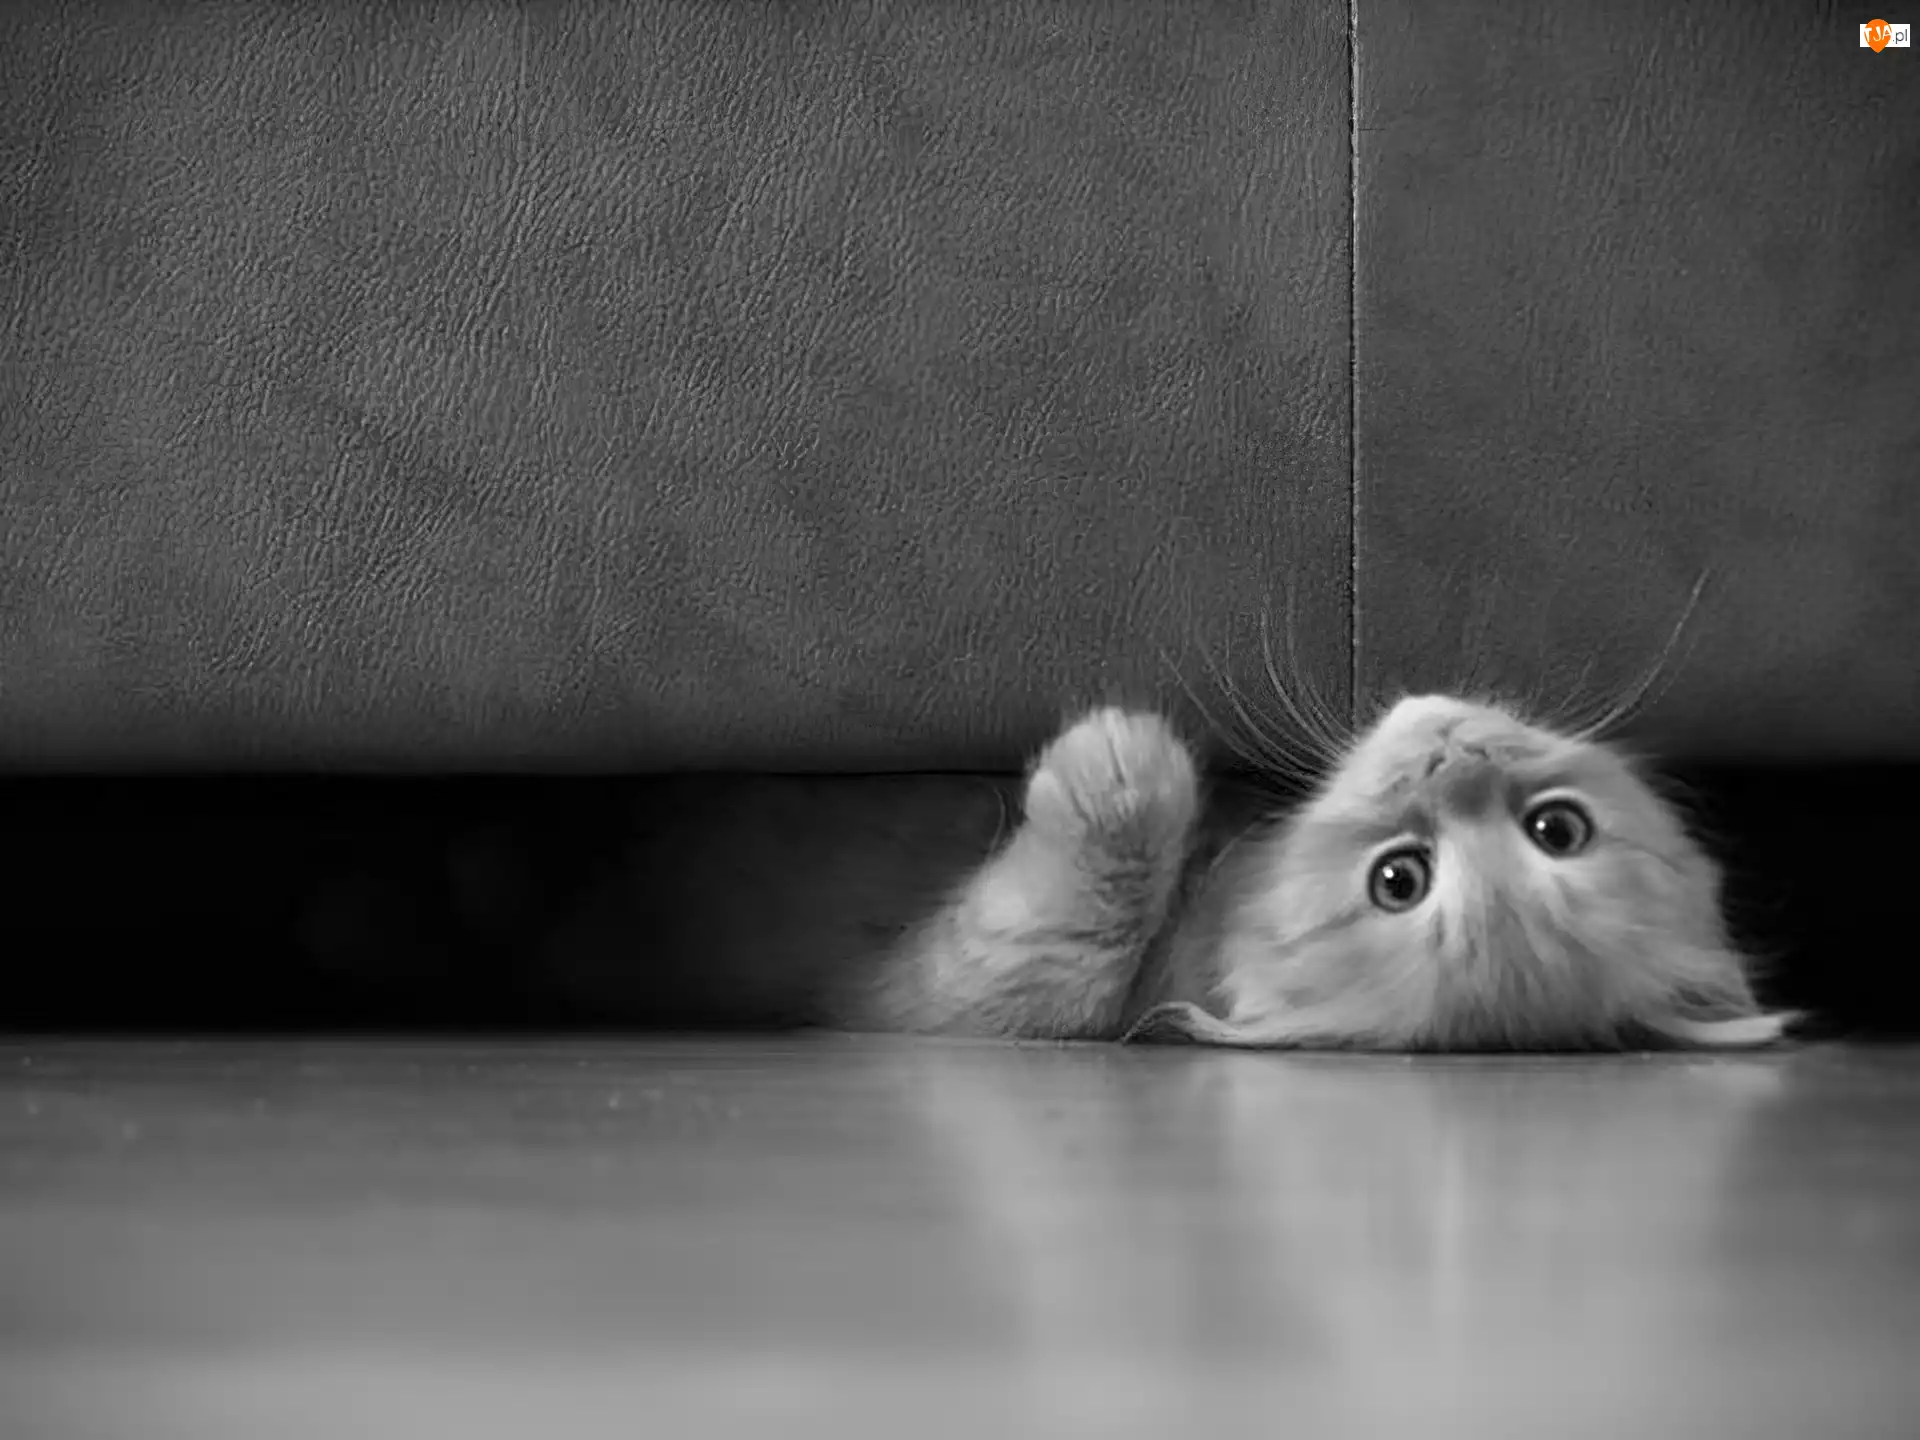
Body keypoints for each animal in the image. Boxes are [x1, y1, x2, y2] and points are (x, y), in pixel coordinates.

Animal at [852, 695, 1795, 1050]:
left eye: (1398, 881)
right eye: (1557, 828)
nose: (1450, 759)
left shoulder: (923, 997)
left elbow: (1049, 964)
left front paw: (1123, 769)